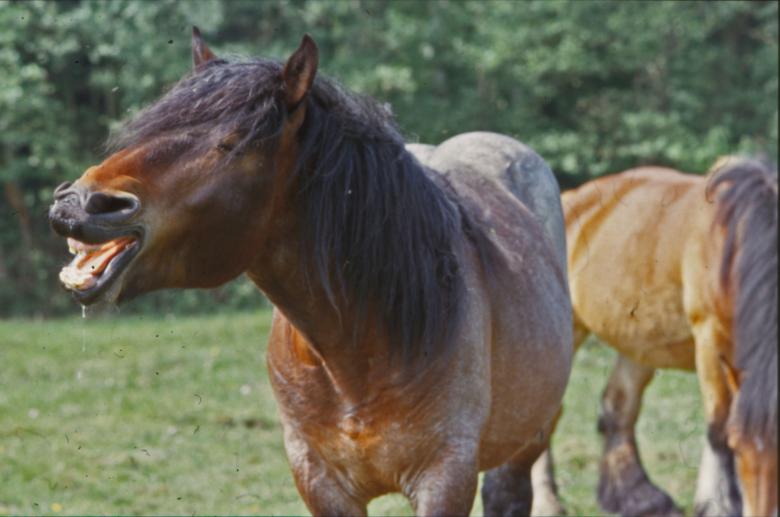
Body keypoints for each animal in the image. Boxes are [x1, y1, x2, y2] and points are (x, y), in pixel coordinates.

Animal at [49, 29, 573, 516]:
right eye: (144, 128)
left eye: (231, 144)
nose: (77, 203)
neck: (358, 353)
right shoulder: (320, 481)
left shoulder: (445, 478)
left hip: (523, 446)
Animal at [529, 158, 778, 517]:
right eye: (740, 446)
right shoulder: (709, 337)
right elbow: (717, 426)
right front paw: (720, 504)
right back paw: (546, 501)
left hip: (640, 341)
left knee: (618, 405)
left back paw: (638, 497)